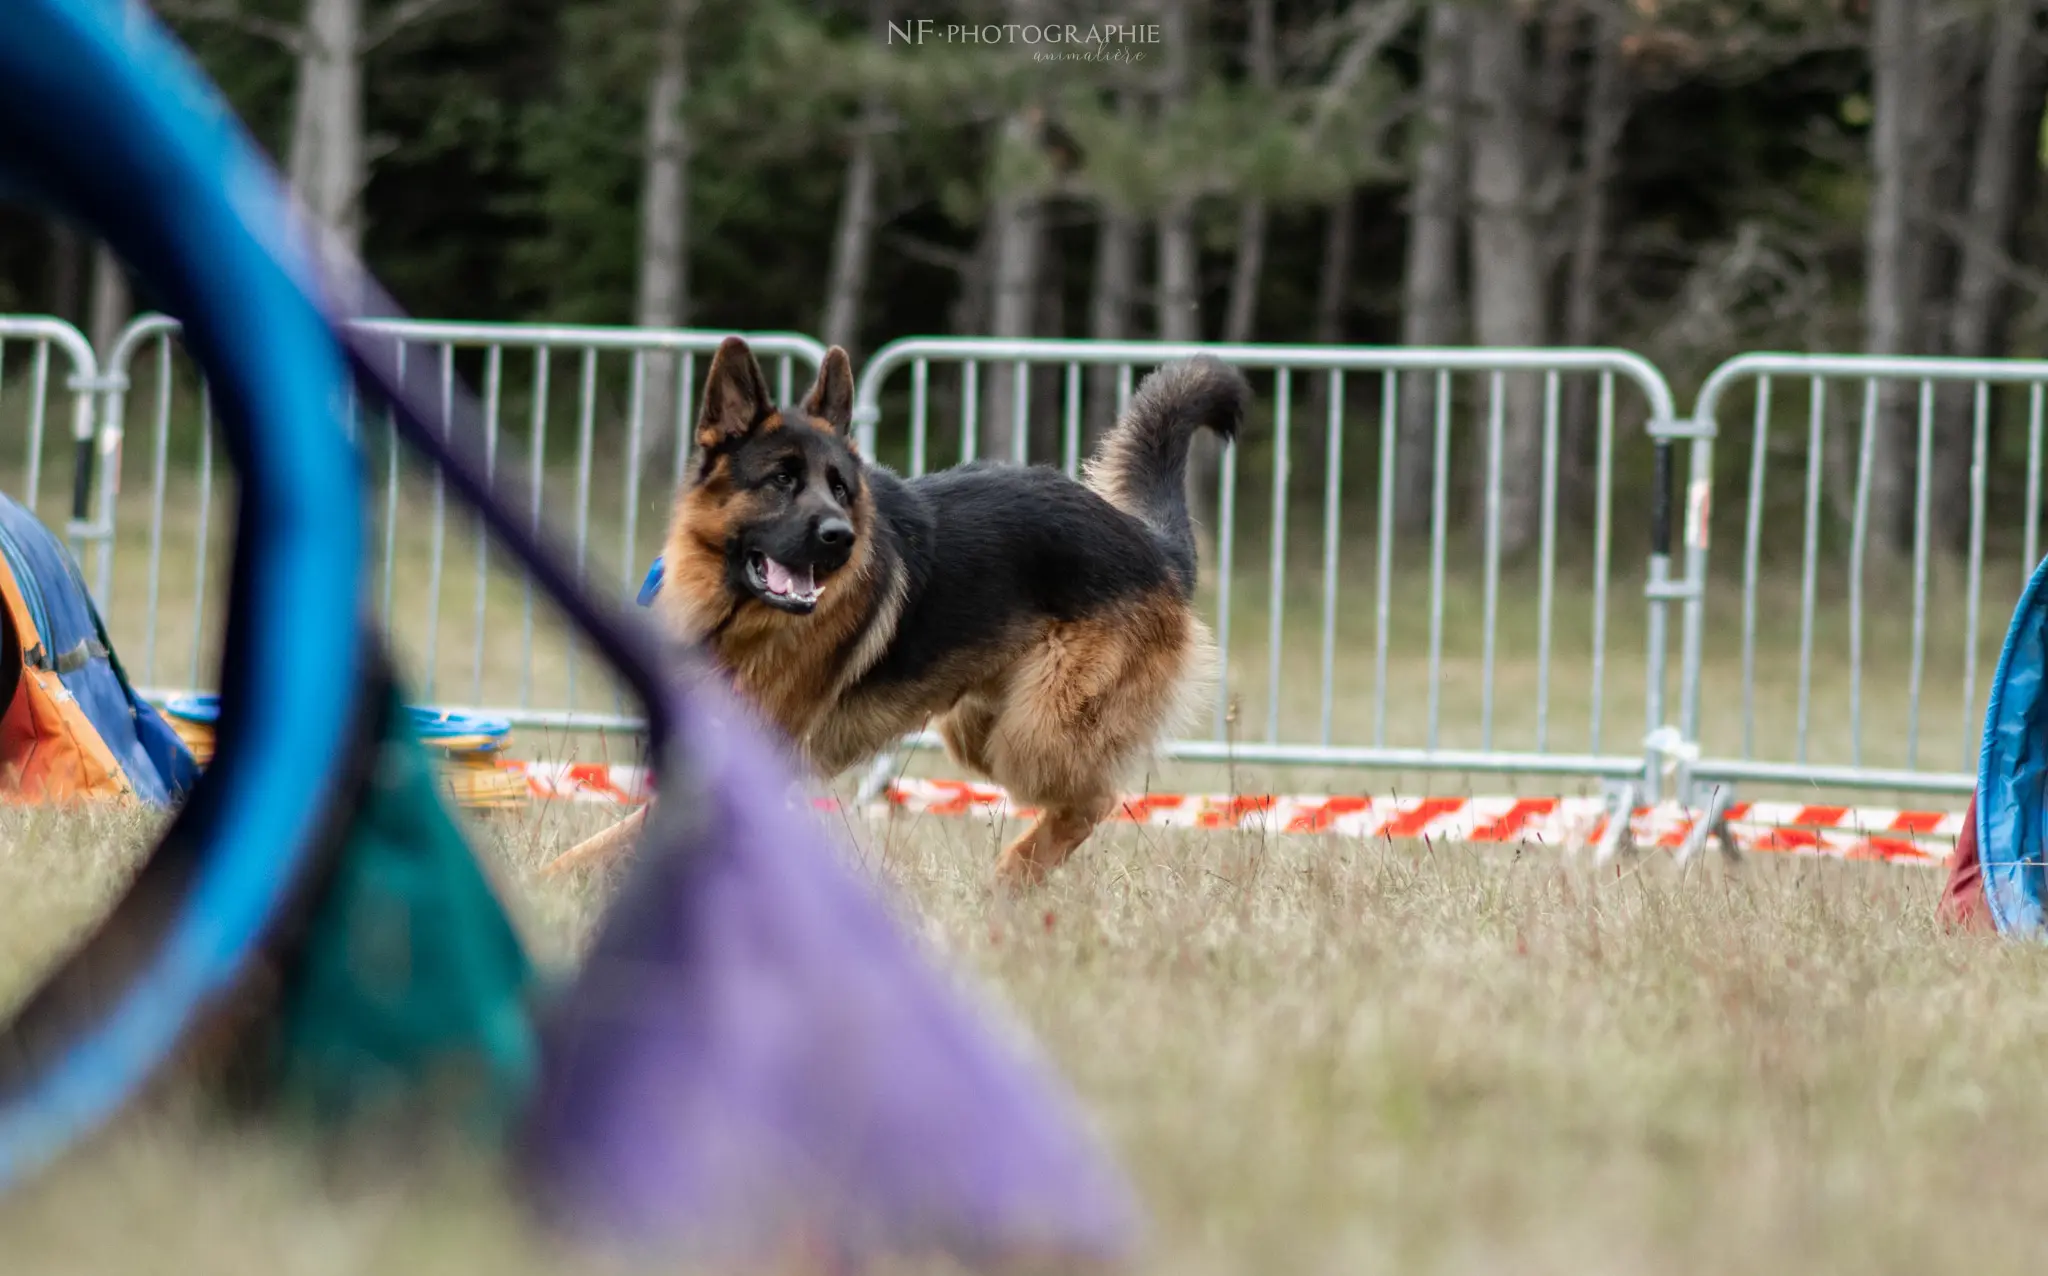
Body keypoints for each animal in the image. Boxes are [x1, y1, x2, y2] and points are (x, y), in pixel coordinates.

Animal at [548, 339, 1245, 888]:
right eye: (781, 480)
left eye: (839, 487)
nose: (841, 538)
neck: (741, 621)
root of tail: (1153, 545)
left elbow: (623, 837)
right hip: (979, 730)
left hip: (1035, 737)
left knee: (1096, 799)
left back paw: (1013, 877)